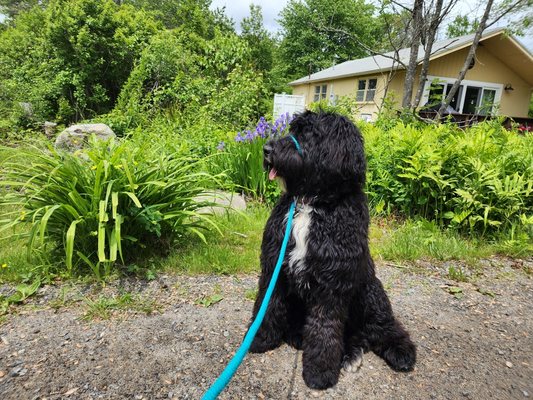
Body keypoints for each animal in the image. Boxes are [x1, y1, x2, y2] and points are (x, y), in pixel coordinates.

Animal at [249, 111, 416, 390]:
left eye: (307, 133)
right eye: (292, 129)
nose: (267, 149)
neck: (312, 203)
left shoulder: (331, 285)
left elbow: (324, 329)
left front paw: (320, 372)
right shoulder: (274, 268)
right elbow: (268, 303)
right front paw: (259, 339)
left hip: (371, 293)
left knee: (384, 327)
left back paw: (399, 351)